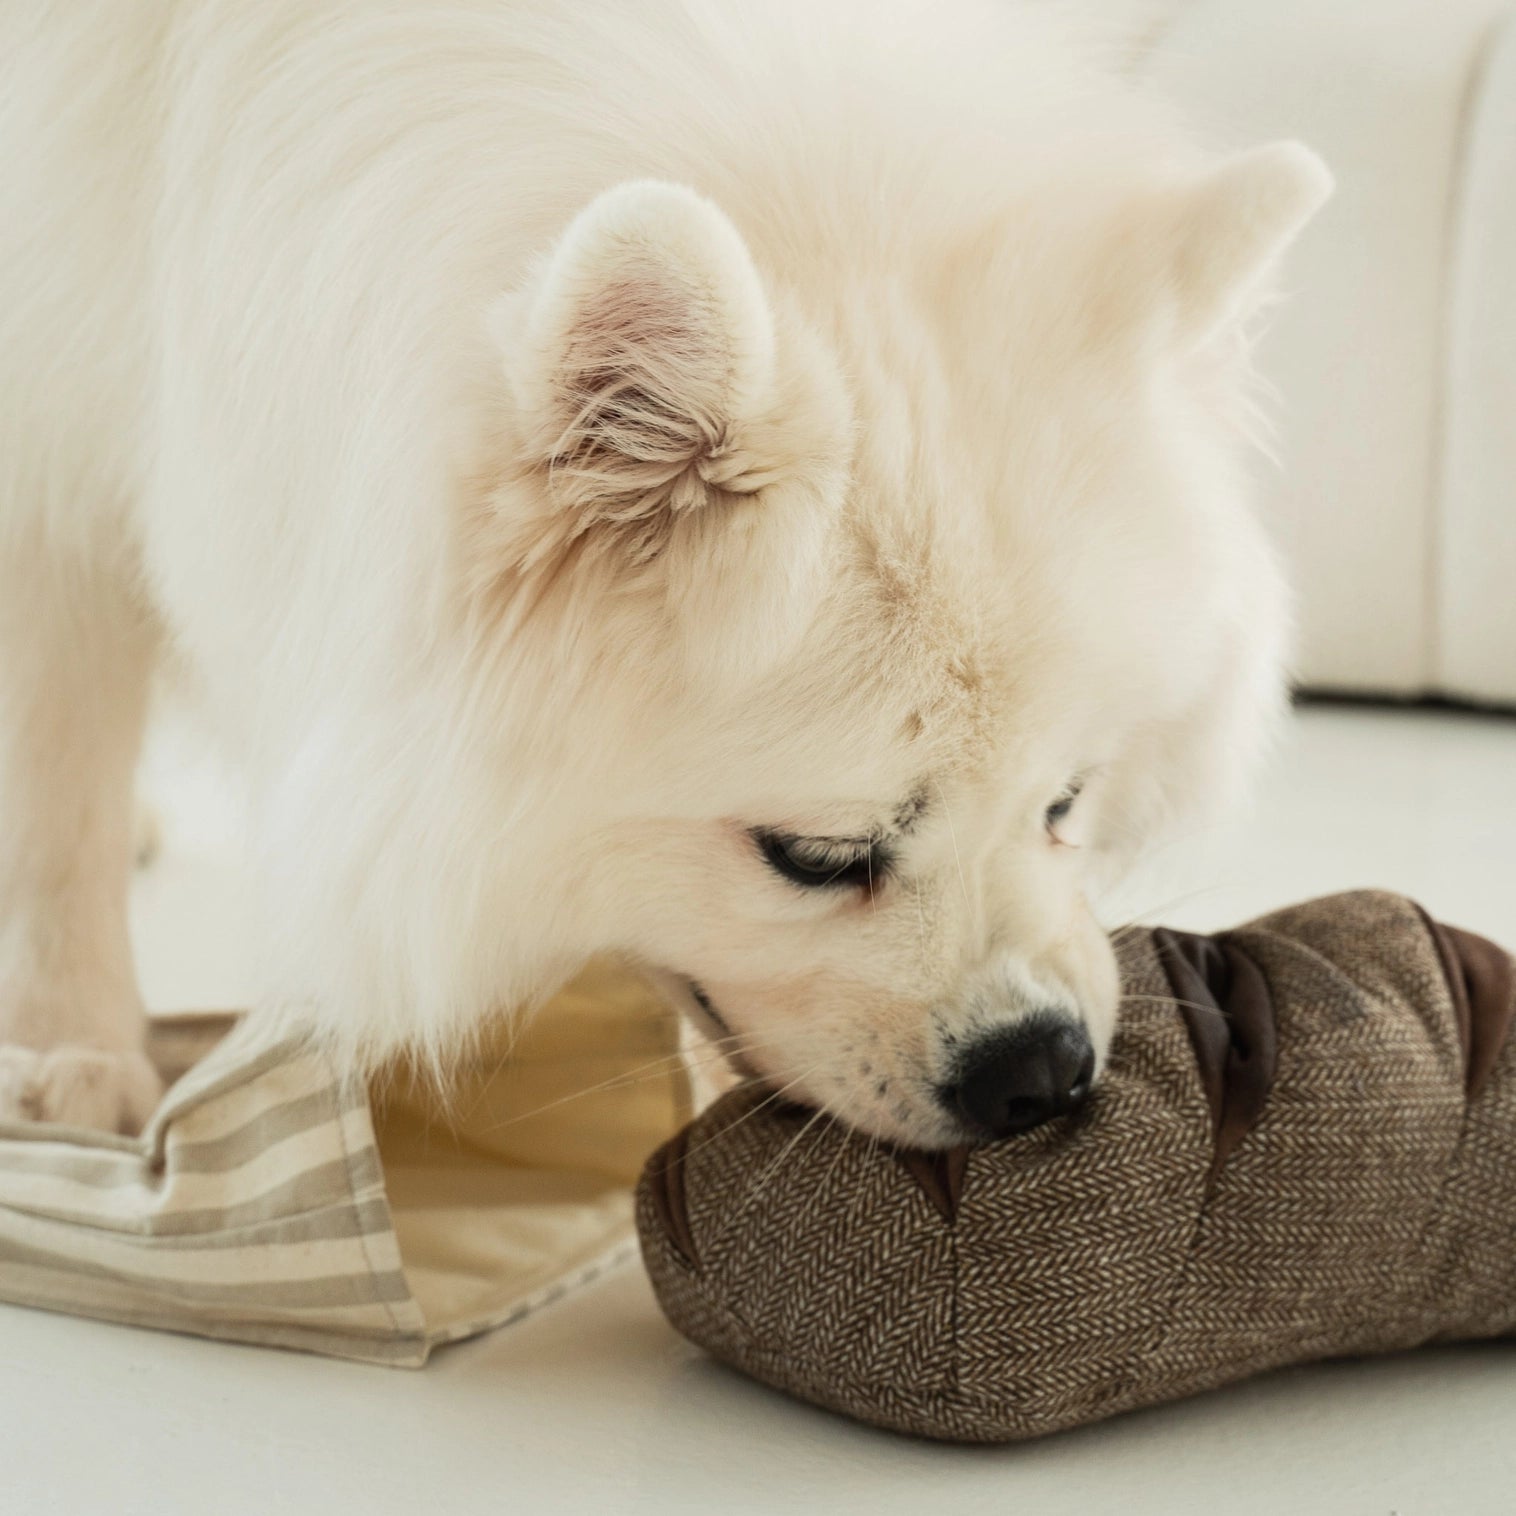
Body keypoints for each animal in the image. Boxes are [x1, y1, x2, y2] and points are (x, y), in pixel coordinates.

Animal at [0, 0, 1328, 1140]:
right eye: (815, 857)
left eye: (1065, 800)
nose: (1041, 1071)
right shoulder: (50, 434)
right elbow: (54, 802)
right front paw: (68, 1051)